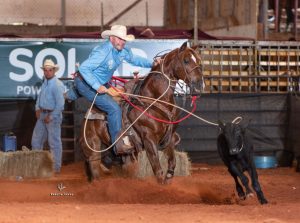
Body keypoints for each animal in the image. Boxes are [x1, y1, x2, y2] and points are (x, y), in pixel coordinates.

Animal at [79, 41, 205, 183]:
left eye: (198, 60)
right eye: (186, 60)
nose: (199, 85)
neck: (155, 100)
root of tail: (88, 115)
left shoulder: (169, 137)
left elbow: (172, 162)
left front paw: (169, 175)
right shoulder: (149, 138)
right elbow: (158, 170)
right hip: (93, 147)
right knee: (95, 168)